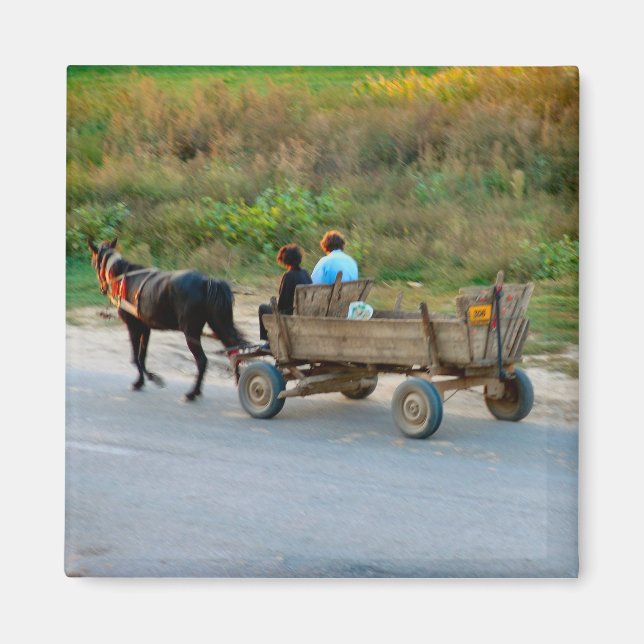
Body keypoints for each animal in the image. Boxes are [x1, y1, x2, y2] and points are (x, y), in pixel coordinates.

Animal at [87, 238, 246, 401]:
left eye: (93, 261)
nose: (102, 289)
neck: (124, 278)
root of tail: (208, 281)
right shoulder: (146, 328)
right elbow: (142, 357)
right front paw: (146, 379)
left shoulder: (133, 327)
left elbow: (135, 357)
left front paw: (145, 380)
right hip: (218, 324)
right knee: (234, 351)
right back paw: (237, 382)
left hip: (191, 332)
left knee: (202, 361)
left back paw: (192, 393)